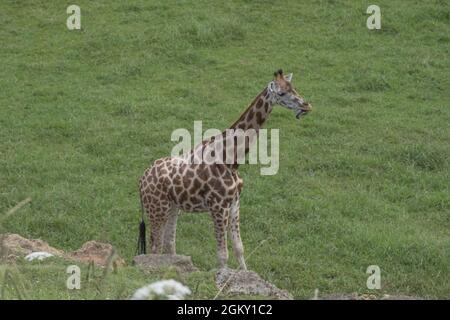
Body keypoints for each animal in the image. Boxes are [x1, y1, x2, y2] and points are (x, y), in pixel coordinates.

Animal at [139, 69, 312, 270]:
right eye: (282, 93)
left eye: (294, 88)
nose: (306, 106)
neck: (231, 160)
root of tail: (140, 181)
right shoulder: (218, 207)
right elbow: (223, 255)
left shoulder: (235, 204)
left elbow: (239, 248)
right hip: (156, 208)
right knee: (155, 246)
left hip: (173, 207)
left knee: (169, 243)